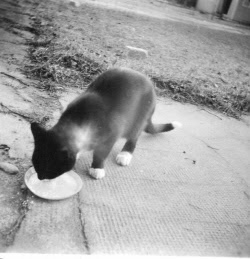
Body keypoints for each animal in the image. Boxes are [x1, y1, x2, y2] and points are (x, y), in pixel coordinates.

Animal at [31, 67, 182, 181]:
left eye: (50, 168)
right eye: (35, 162)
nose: (40, 177)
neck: (79, 120)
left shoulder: (111, 136)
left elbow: (100, 154)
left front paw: (97, 168)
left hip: (138, 119)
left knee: (134, 137)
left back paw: (125, 154)